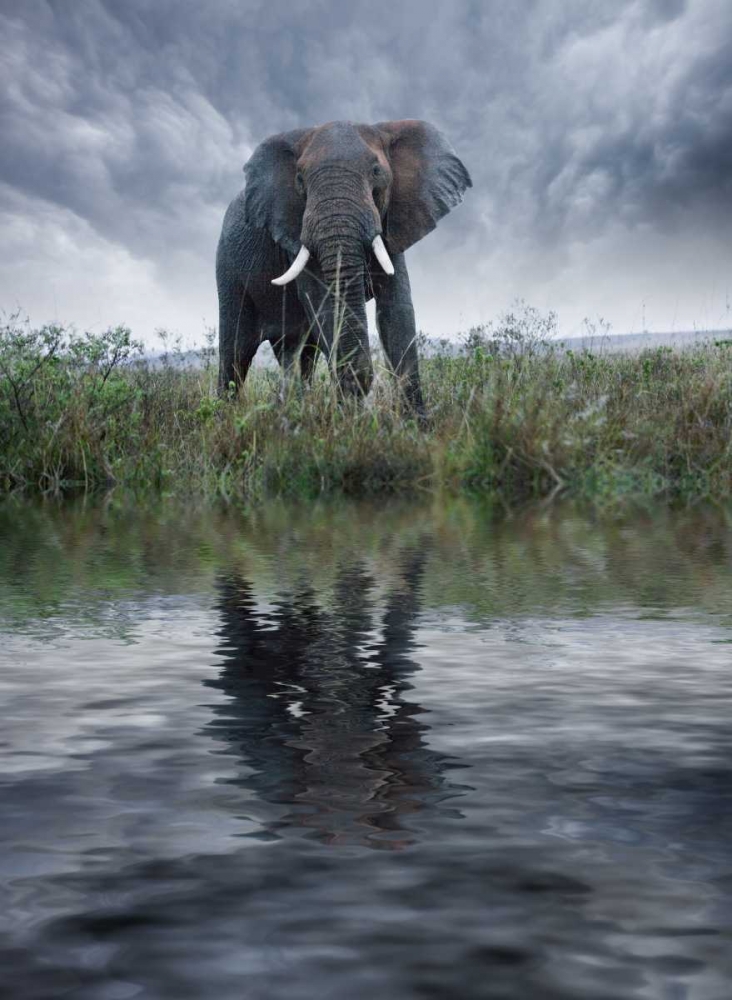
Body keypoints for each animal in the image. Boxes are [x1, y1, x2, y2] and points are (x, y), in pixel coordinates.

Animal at [216, 119, 472, 413]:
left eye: (376, 171)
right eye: (300, 179)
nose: (363, 387)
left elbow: (397, 310)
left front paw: (414, 421)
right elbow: (325, 304)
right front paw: (351, 415)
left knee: (300, 354)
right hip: (228, 270)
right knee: (236, 352)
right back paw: (224, 414)